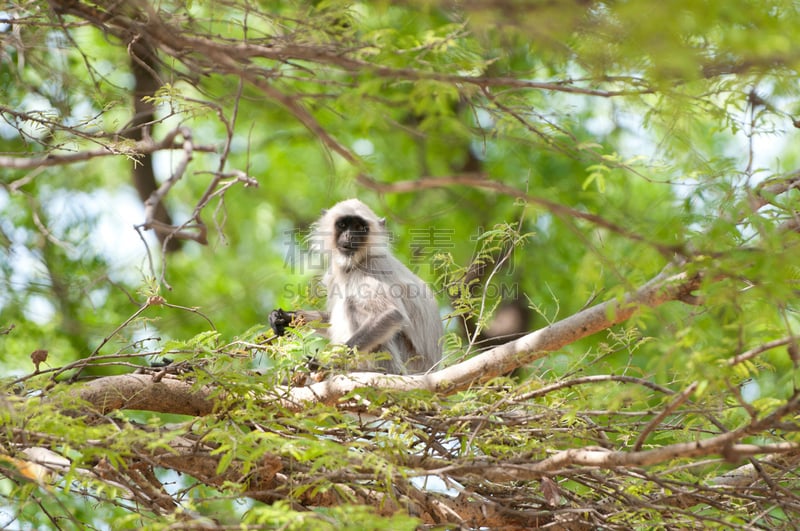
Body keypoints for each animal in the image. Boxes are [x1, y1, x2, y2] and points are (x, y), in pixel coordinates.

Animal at [270, 198, 444, 374]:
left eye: (360, 228)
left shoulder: (373, 267)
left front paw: (330, 362)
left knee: (352, 303)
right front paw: (287, 318)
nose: (350, 235)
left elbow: (392, 314)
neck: (355, 264)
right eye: (343, 225)